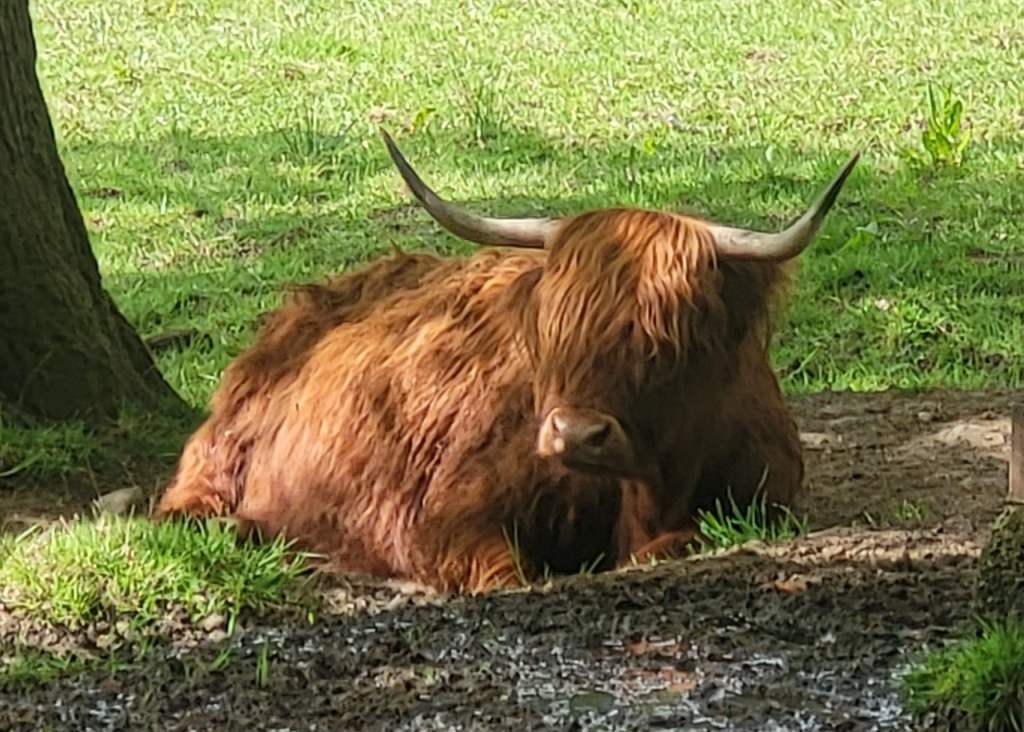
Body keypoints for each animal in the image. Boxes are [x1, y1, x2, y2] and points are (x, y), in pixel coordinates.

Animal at [155, 129, 859, 593]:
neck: (651, 486)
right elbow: (507, 576)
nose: (575, 433)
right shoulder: (447, 516)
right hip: (219, 454)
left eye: (666, 337)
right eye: (552, 330)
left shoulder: (766, 501)